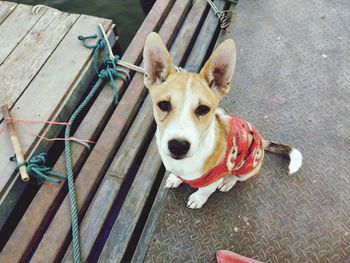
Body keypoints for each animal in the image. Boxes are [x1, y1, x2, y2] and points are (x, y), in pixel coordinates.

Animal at [144, 32, 302, 210]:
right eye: (163, 105)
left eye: (203, 109)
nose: (178, 146)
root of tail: (261, 139)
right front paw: (175, 178)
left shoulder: (214, 179)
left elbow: (205, 191)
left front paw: (198, 199)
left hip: (248, 168)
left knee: (237, 177)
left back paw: (228, 182)